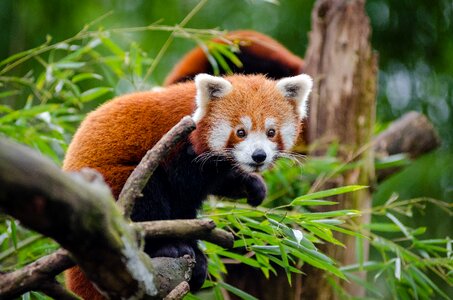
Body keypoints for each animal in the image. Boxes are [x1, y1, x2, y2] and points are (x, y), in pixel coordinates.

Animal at [62, 73, 310, 298]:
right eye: (241, 132)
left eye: (271, 132)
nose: (259, 156)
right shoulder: (178, 149)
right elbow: (183, 186)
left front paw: (252, 186)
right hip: (116, 184)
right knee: (148, 198)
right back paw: (169, 247)